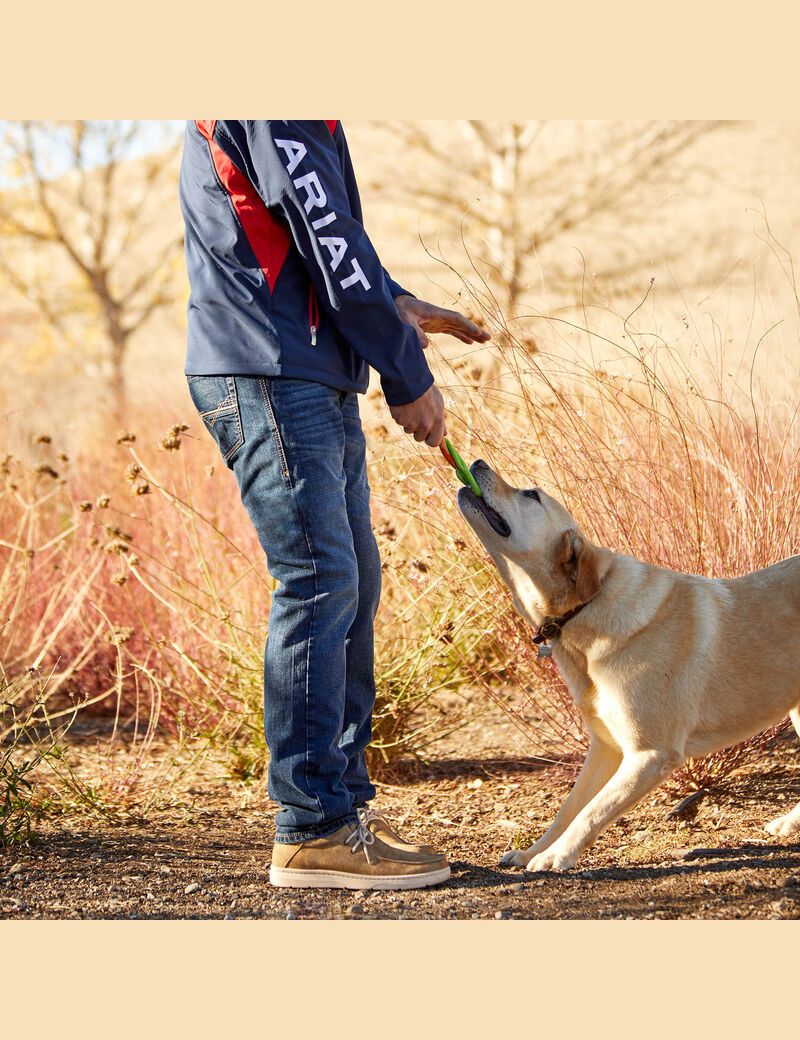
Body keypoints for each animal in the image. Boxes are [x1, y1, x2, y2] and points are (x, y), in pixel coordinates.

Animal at [455, 461, 798, 869]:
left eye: (531, 495)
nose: (477, 463)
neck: (585, 609)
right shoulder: (606, 748)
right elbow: (569, 809)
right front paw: (535, 851)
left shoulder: (651, 754)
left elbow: (592, 811)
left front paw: (556, 856)